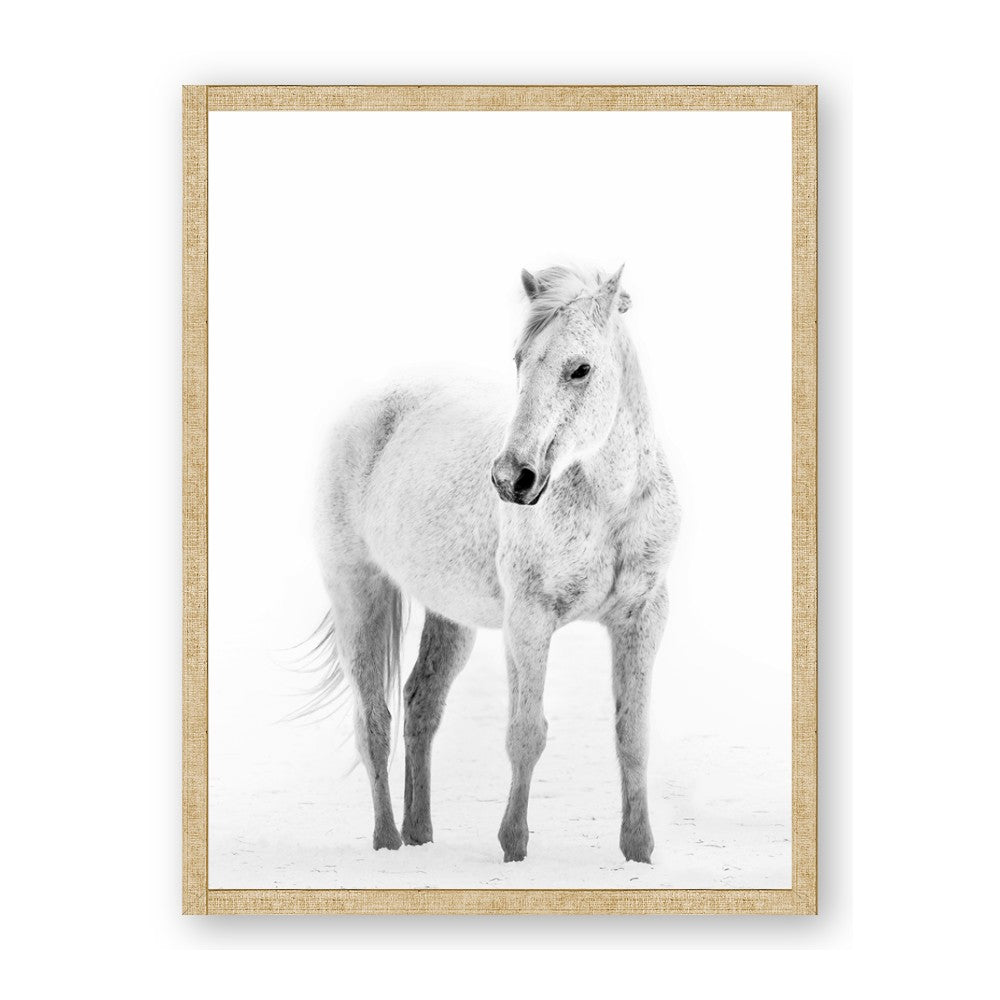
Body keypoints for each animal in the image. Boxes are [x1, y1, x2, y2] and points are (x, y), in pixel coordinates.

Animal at [311, 263, 681, 863]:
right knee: (374, 721)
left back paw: (420, 834)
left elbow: (633, 736)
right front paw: (513, 848)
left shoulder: (643, 617)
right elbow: (526, 733)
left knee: (420, 704)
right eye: (519, 360)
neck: (609, 505)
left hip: (449, 617)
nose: (512, 479)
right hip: (357, 593)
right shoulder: (529, 620)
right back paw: (388, 842)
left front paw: (639, 852)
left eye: (581, 369)